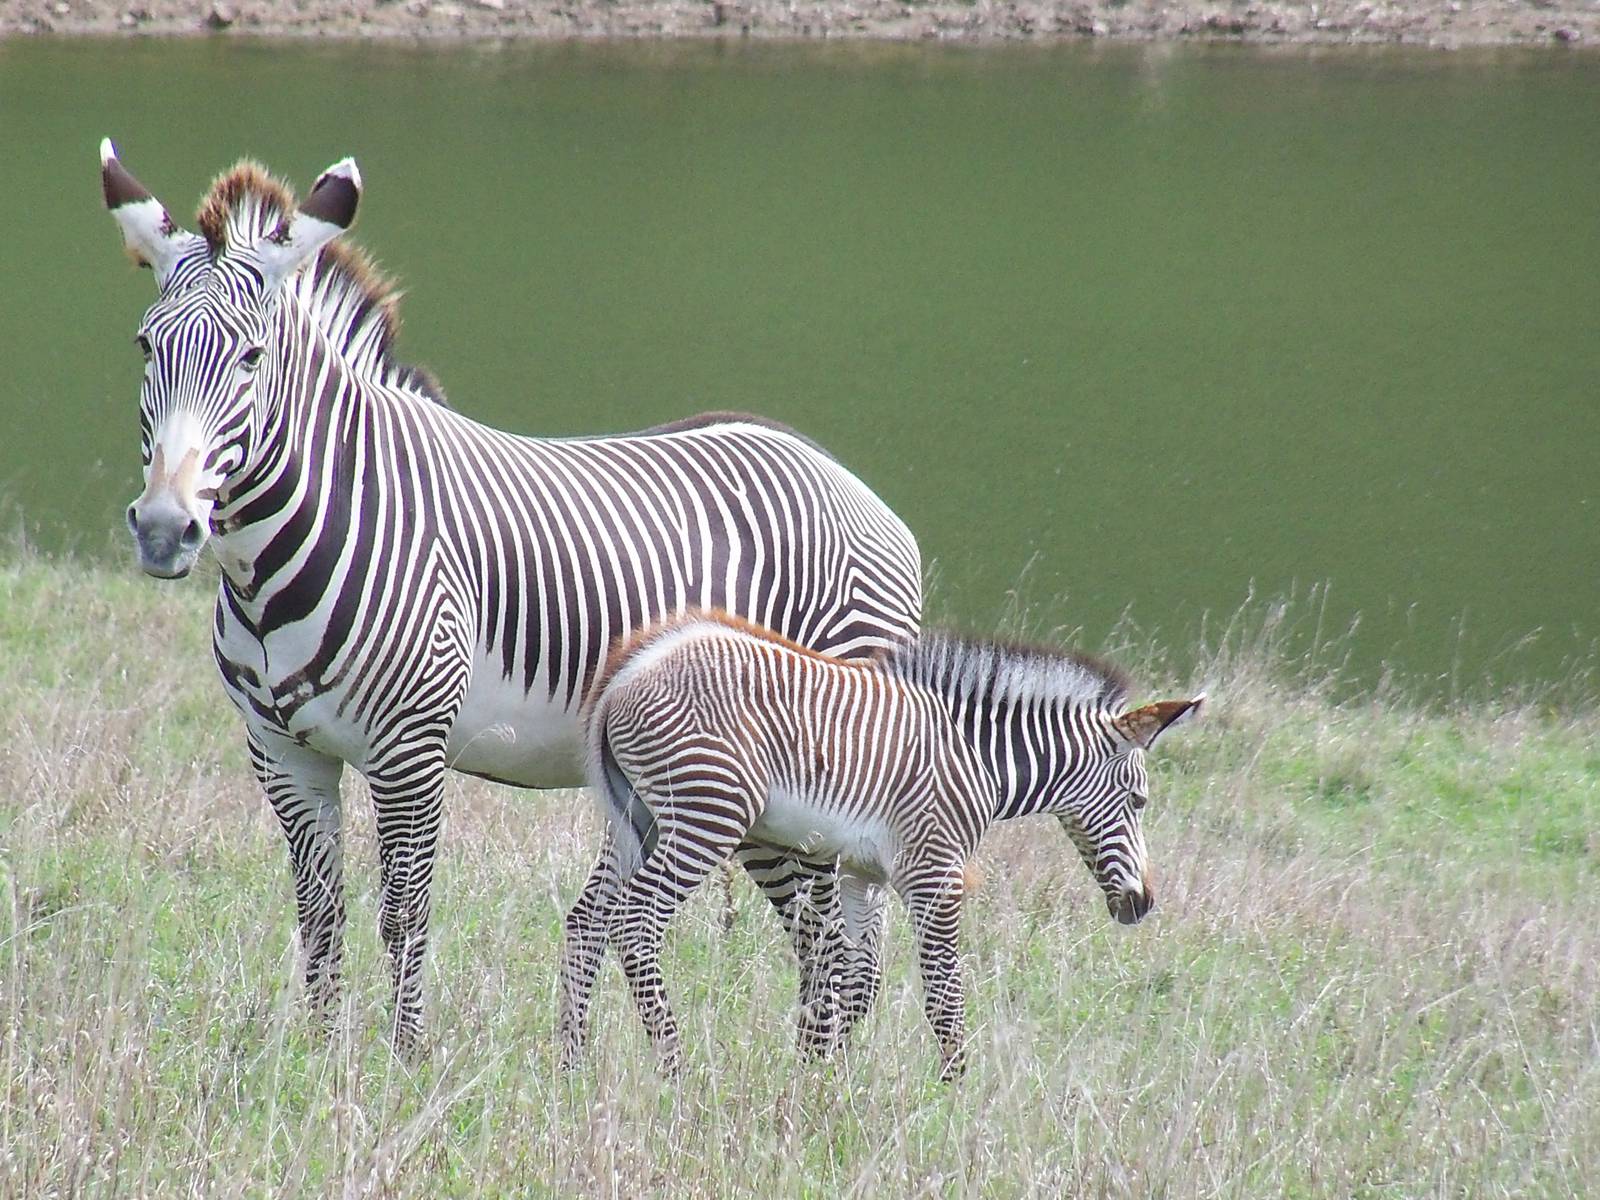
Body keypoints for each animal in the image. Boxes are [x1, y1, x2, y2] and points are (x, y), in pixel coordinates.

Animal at [99, 140, 924, 1049]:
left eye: (250, 357)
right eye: (144, 347)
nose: (165, 529)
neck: (277, 563)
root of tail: (850, 486)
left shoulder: (410, 748)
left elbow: (405, 915)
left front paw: (404, 1060)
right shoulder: (281, 752)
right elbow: (320, 914)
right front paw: (318, 1056)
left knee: (834, 932)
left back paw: (820, 1074)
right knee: (809, 932)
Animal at [558, 610, 1202, 1078]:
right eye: (1140, 802)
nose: (1142, 903)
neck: (979, 757)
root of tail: (630, 669)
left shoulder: (860, 873)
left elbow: (857, 978)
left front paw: (823, 1075)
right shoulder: (934, 870)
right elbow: (942, 989)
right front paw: (952, 1092)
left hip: (638, 821)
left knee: (588, 920)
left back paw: (571, 1064)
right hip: (706, 817)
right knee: (636, 922)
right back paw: (675, 1067)